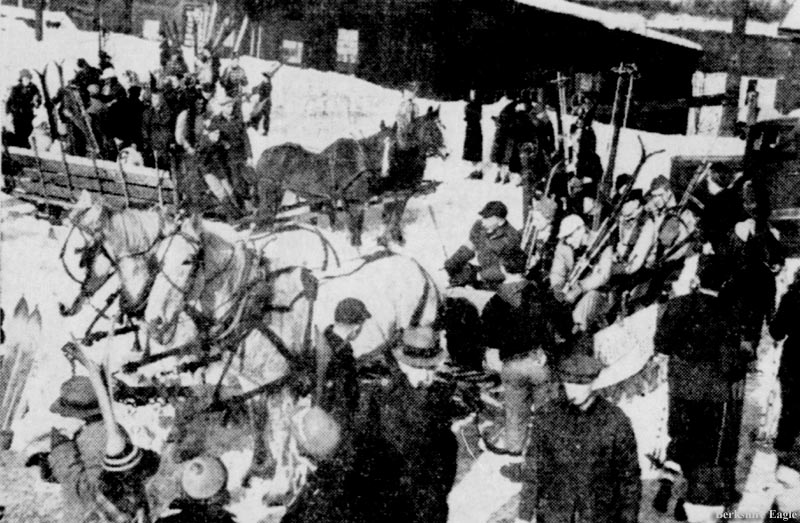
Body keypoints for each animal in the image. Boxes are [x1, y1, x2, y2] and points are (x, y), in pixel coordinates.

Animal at [255, 106, 446, 248]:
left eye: (394, 146)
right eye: (433, 130)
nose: (446, 152)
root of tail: (264, 154)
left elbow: (364, 225)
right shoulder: (359, 202)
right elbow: (360, 227)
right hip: (269, 191)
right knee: (264, 216)